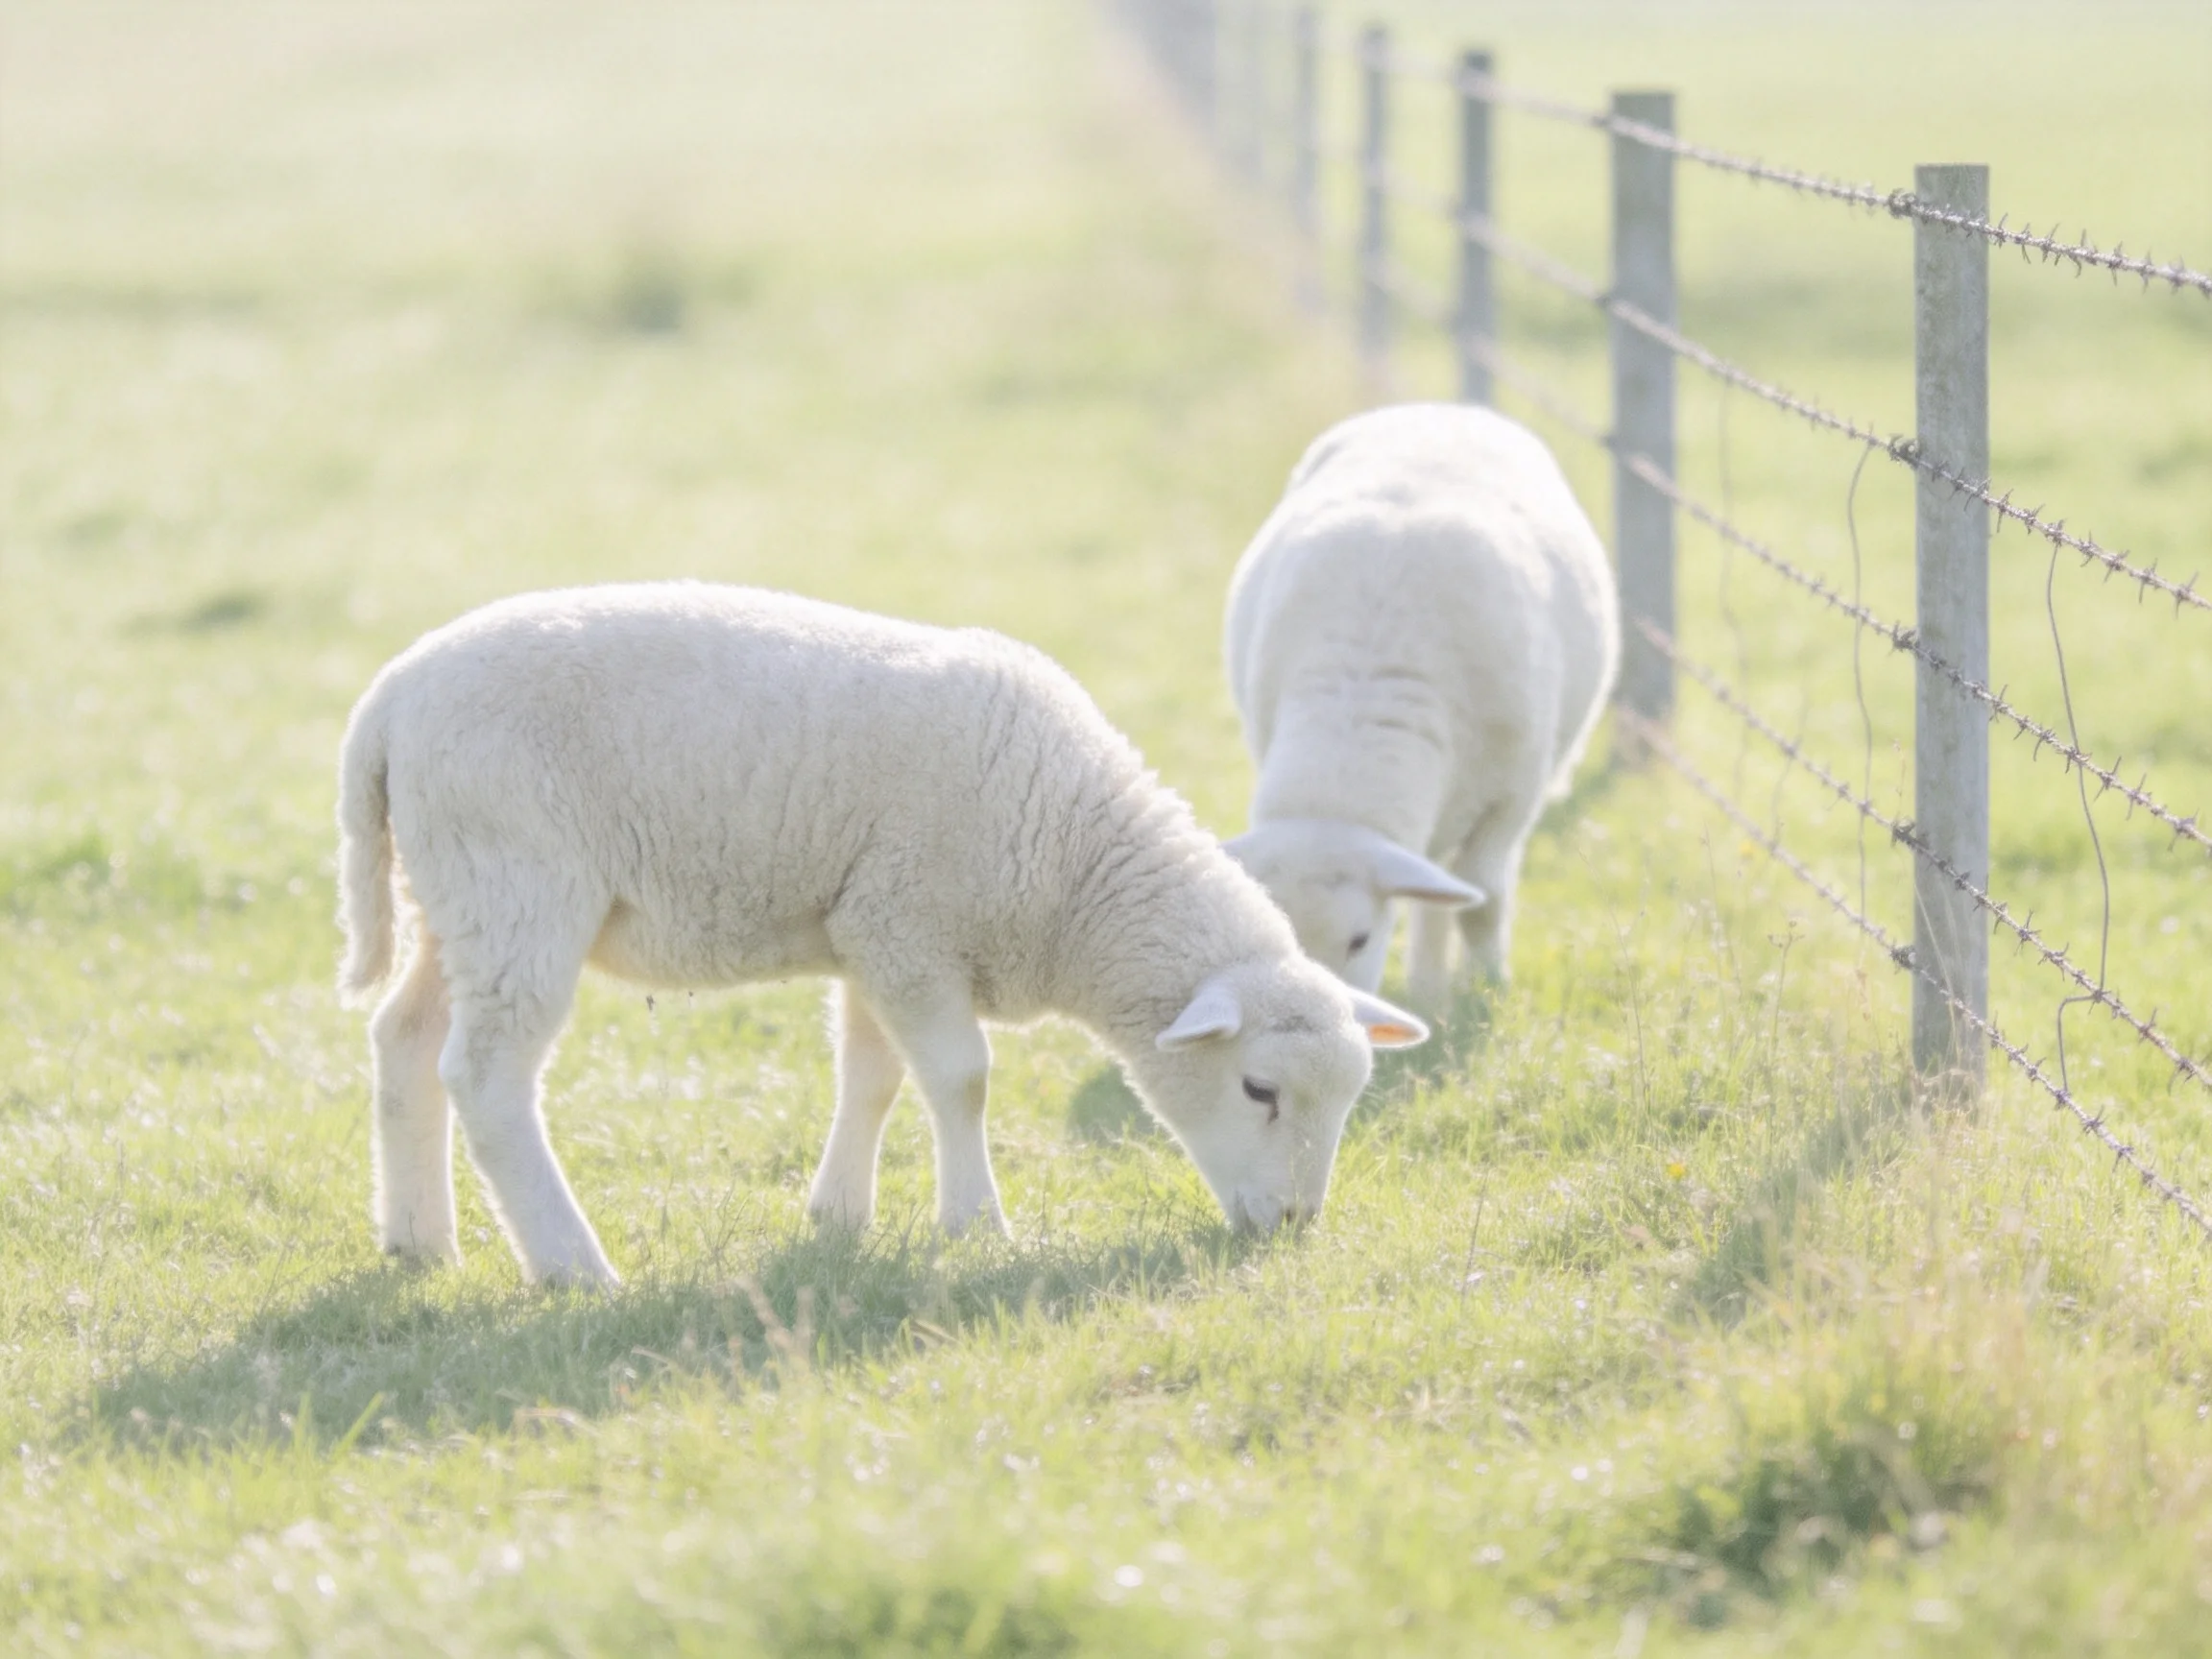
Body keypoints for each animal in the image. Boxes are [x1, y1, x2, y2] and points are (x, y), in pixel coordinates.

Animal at [336, 582, 1428, 1287]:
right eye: (1259, 1090)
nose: (1293, 1227)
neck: (1078, 862)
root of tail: (387, 700)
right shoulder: (912, 922)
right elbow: (960, 1079)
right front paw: (977, 1226)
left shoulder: (872, 927)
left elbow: (871, 1075)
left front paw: (838, 1217)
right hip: (518, 880)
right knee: (485, 1078)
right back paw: (571, 1266)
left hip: (452, 891)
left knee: (403, 1038)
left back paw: (417, 1242)